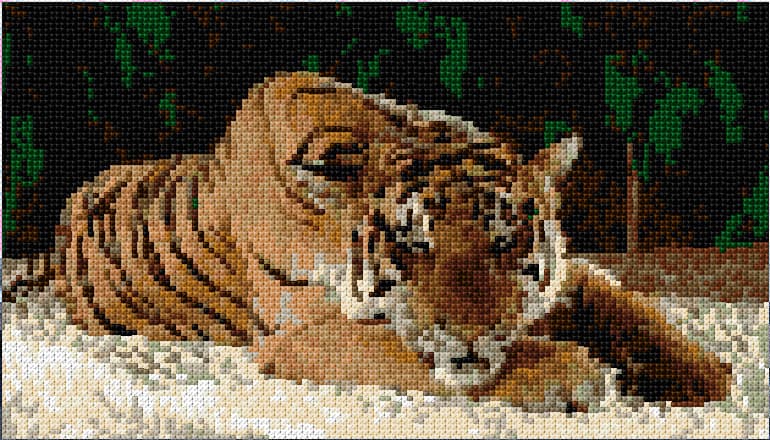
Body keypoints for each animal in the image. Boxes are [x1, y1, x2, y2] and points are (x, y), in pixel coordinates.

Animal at [5, 71, 731, 411]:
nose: (472, 333)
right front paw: (571, 371)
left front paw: (704, 373)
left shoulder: (569, 275)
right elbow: (405, 351)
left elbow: (627, 304)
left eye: (505, 242)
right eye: (413, 246)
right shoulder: (306, 333)